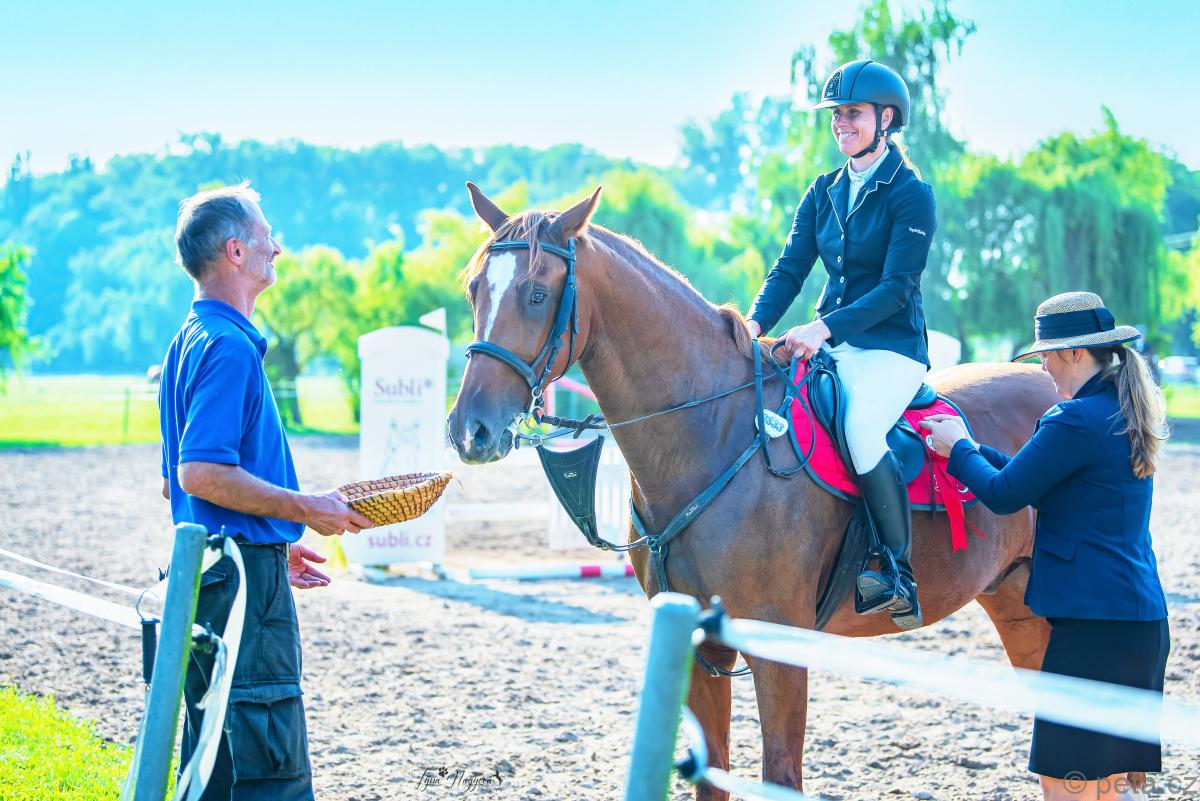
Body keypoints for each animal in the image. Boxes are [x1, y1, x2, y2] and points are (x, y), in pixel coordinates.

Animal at [447, 184, 1061, 799]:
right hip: (1015, 603)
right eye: (474, 289)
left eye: (535, 294)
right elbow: (713, 775)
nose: (469, 430)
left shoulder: (779, 649)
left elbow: (780, 774)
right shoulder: (698, 647)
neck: (714, 434)